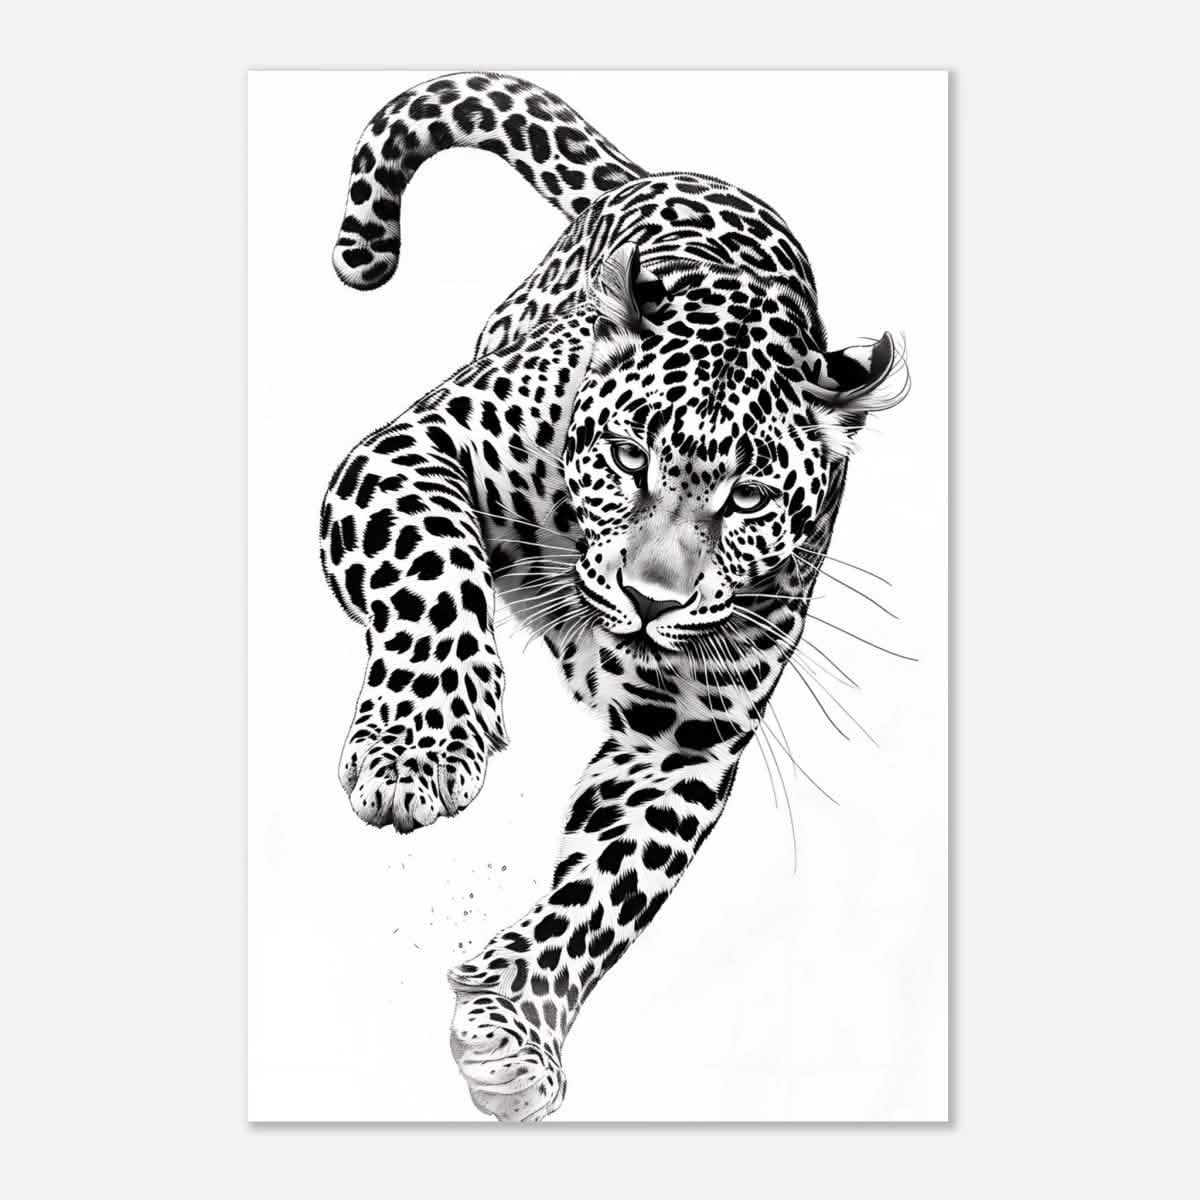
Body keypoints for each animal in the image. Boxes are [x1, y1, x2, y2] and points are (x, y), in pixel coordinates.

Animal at [321, 71, 909, 1121]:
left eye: (748, 497)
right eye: (630, 457)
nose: (649, 600)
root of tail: (665, 171)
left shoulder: (684, 738)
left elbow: (606, 891)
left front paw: (515, 1027)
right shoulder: (408, 452)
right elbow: (435, 574)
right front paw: (419, 748)